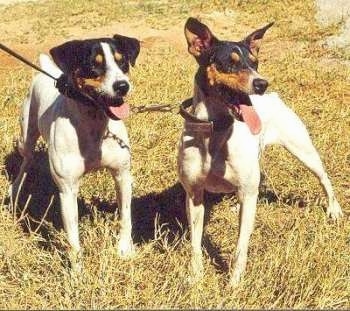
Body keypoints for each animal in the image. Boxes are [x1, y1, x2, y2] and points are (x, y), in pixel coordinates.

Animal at [11, 34, 142, 268]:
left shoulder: (121, 175)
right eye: (93, 65)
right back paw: (15, 188)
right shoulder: (67, 190)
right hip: (26, 137)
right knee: (26, 160)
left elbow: (125, 217)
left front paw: (125, 250)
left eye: (123, 62)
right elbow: (73, 238)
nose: (122, 86)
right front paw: (77, 271)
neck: (95, 126)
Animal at [176, 17, 344, 288]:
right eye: (229, 62)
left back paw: (334, 209)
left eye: (255, 63)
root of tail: (275, 97)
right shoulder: (194, 194)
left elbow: (240, 247)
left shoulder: (246, 195)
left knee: (323, 178)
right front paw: (195, 276)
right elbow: (195, 243)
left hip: (303, 150)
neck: (216, 132)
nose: (262, 83)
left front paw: (234, 284)